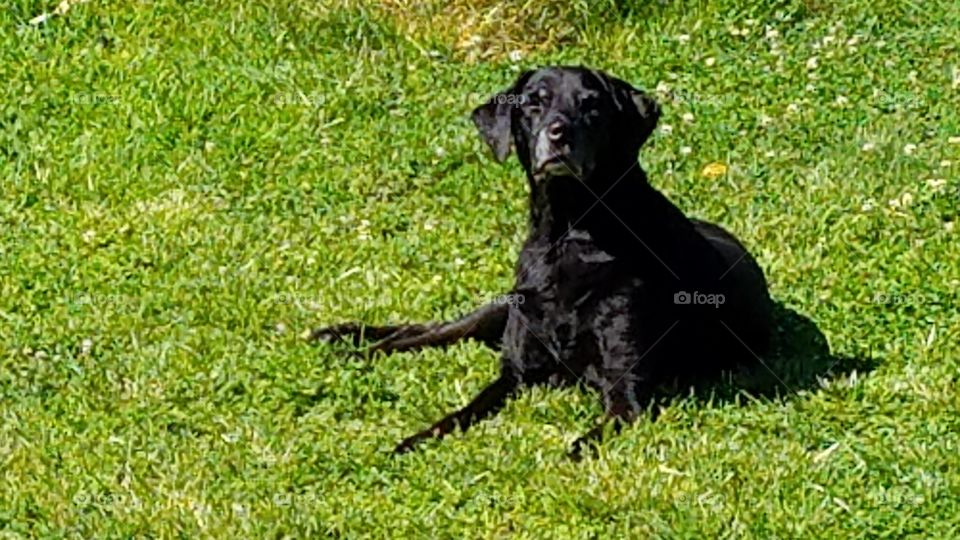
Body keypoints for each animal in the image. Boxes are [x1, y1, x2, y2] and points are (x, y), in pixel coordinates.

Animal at [312, 65, 776, 458]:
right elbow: (462, 411)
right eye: (534, 102)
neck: (566, 234)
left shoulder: (626, 391)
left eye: (592, 105)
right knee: (429, 331)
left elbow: (590, 438)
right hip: (502, 305)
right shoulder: (515, 372)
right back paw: (352, 341)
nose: (558, 133)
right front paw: (417, 439)